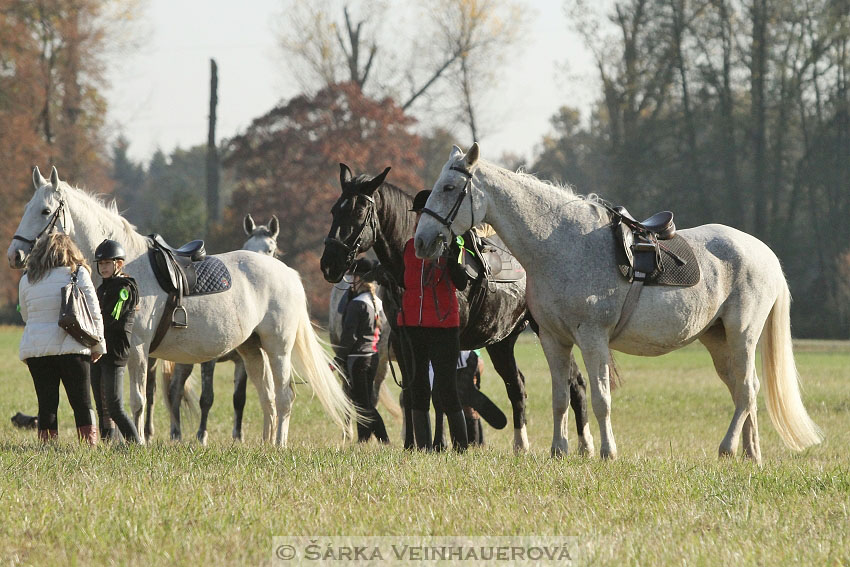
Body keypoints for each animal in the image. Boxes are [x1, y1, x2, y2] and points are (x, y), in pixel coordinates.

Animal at [6, 166, 352, 446]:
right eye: (27, 208)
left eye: (45, 211)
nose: (14, 256)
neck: (126, 268)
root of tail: (287, 273)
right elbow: (110, 397)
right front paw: (118, 441)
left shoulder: (138, 350)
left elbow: (137, 400)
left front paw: (138, 441)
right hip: (252, 349)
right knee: (266, 396)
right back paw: (266, 445)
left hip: (278, 348)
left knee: (283, 397)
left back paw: (279, 444)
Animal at [414, 144, 824, 464]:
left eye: (449, 187)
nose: (421, 241)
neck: (561, 245)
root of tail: (764, 253)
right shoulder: (553, 339)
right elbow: (560, 397)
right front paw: (559, 450)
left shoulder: (592, 337)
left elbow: (600, 398)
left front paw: (607, 452)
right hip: (717, 340)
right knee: (743, 389)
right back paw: (751, 453)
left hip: (742, 335)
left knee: (748, 389)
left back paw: (727, 449)